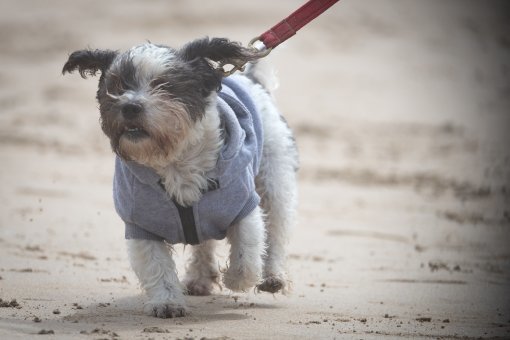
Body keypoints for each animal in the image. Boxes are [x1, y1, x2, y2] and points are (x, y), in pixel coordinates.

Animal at [62, 37, 298, 318]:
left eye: (164, 85)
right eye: (118, 85)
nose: (130, 106)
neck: (174, 160)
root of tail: (251, 79)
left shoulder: (243, 206)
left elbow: (247, 255)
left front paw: (235, 279)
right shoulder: (141, 224)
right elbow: (156, 265)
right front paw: (166, 302)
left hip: (275, 178)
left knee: (276, 228)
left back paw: (273, 276)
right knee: (204, 243)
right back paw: (199, 278)